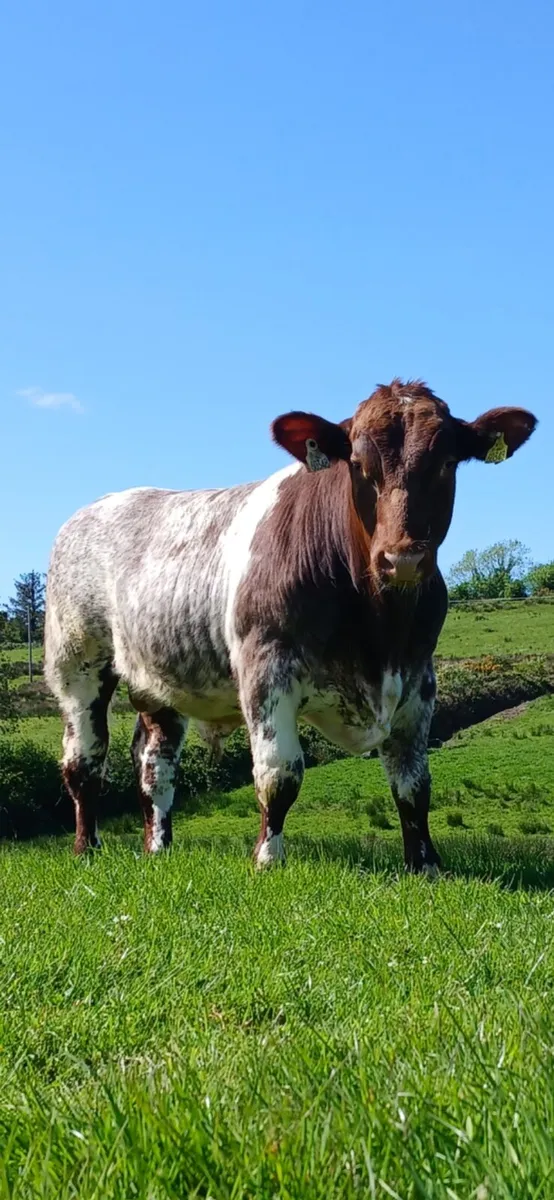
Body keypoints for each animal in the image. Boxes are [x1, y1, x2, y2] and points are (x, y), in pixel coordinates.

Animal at [44, 380, 536, 871]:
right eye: (358, 464)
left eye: (447, 463)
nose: (403, 559)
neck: (378, 631)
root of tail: (99, 506)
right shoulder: (267, 669)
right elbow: (279, 773)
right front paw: (267, 857)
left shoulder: (418, 679)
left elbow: (413, 783)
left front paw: (425, 864)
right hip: (77, 664)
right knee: (84, 761)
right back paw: (86, 847)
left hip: (159, 682)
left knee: (155, 761)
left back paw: (159, 847)